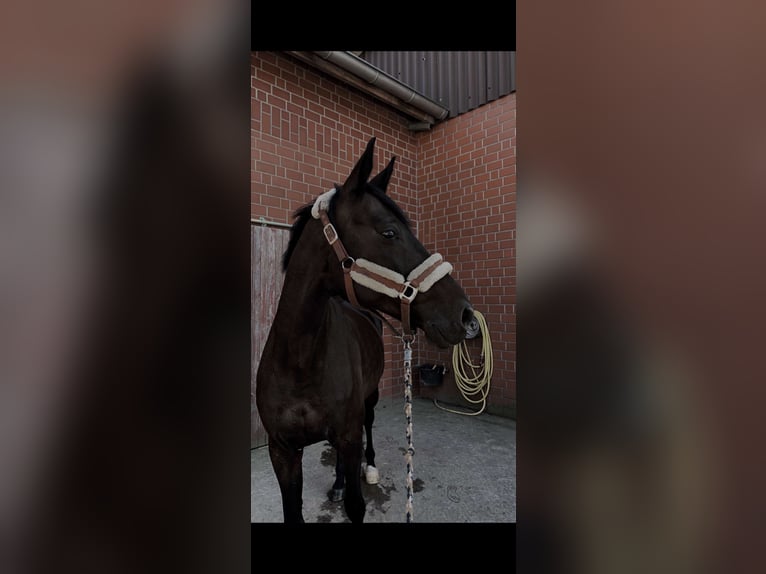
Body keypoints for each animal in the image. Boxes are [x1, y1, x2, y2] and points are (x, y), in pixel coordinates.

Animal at [256, 137, 473, 523]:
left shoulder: (349, 433)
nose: (464, 315)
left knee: (368, 426)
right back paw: (338, 483)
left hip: (368, 400)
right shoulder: (282, 451)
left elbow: (356, 505)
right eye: (388, 231)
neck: (299, 359)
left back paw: (366, 469)